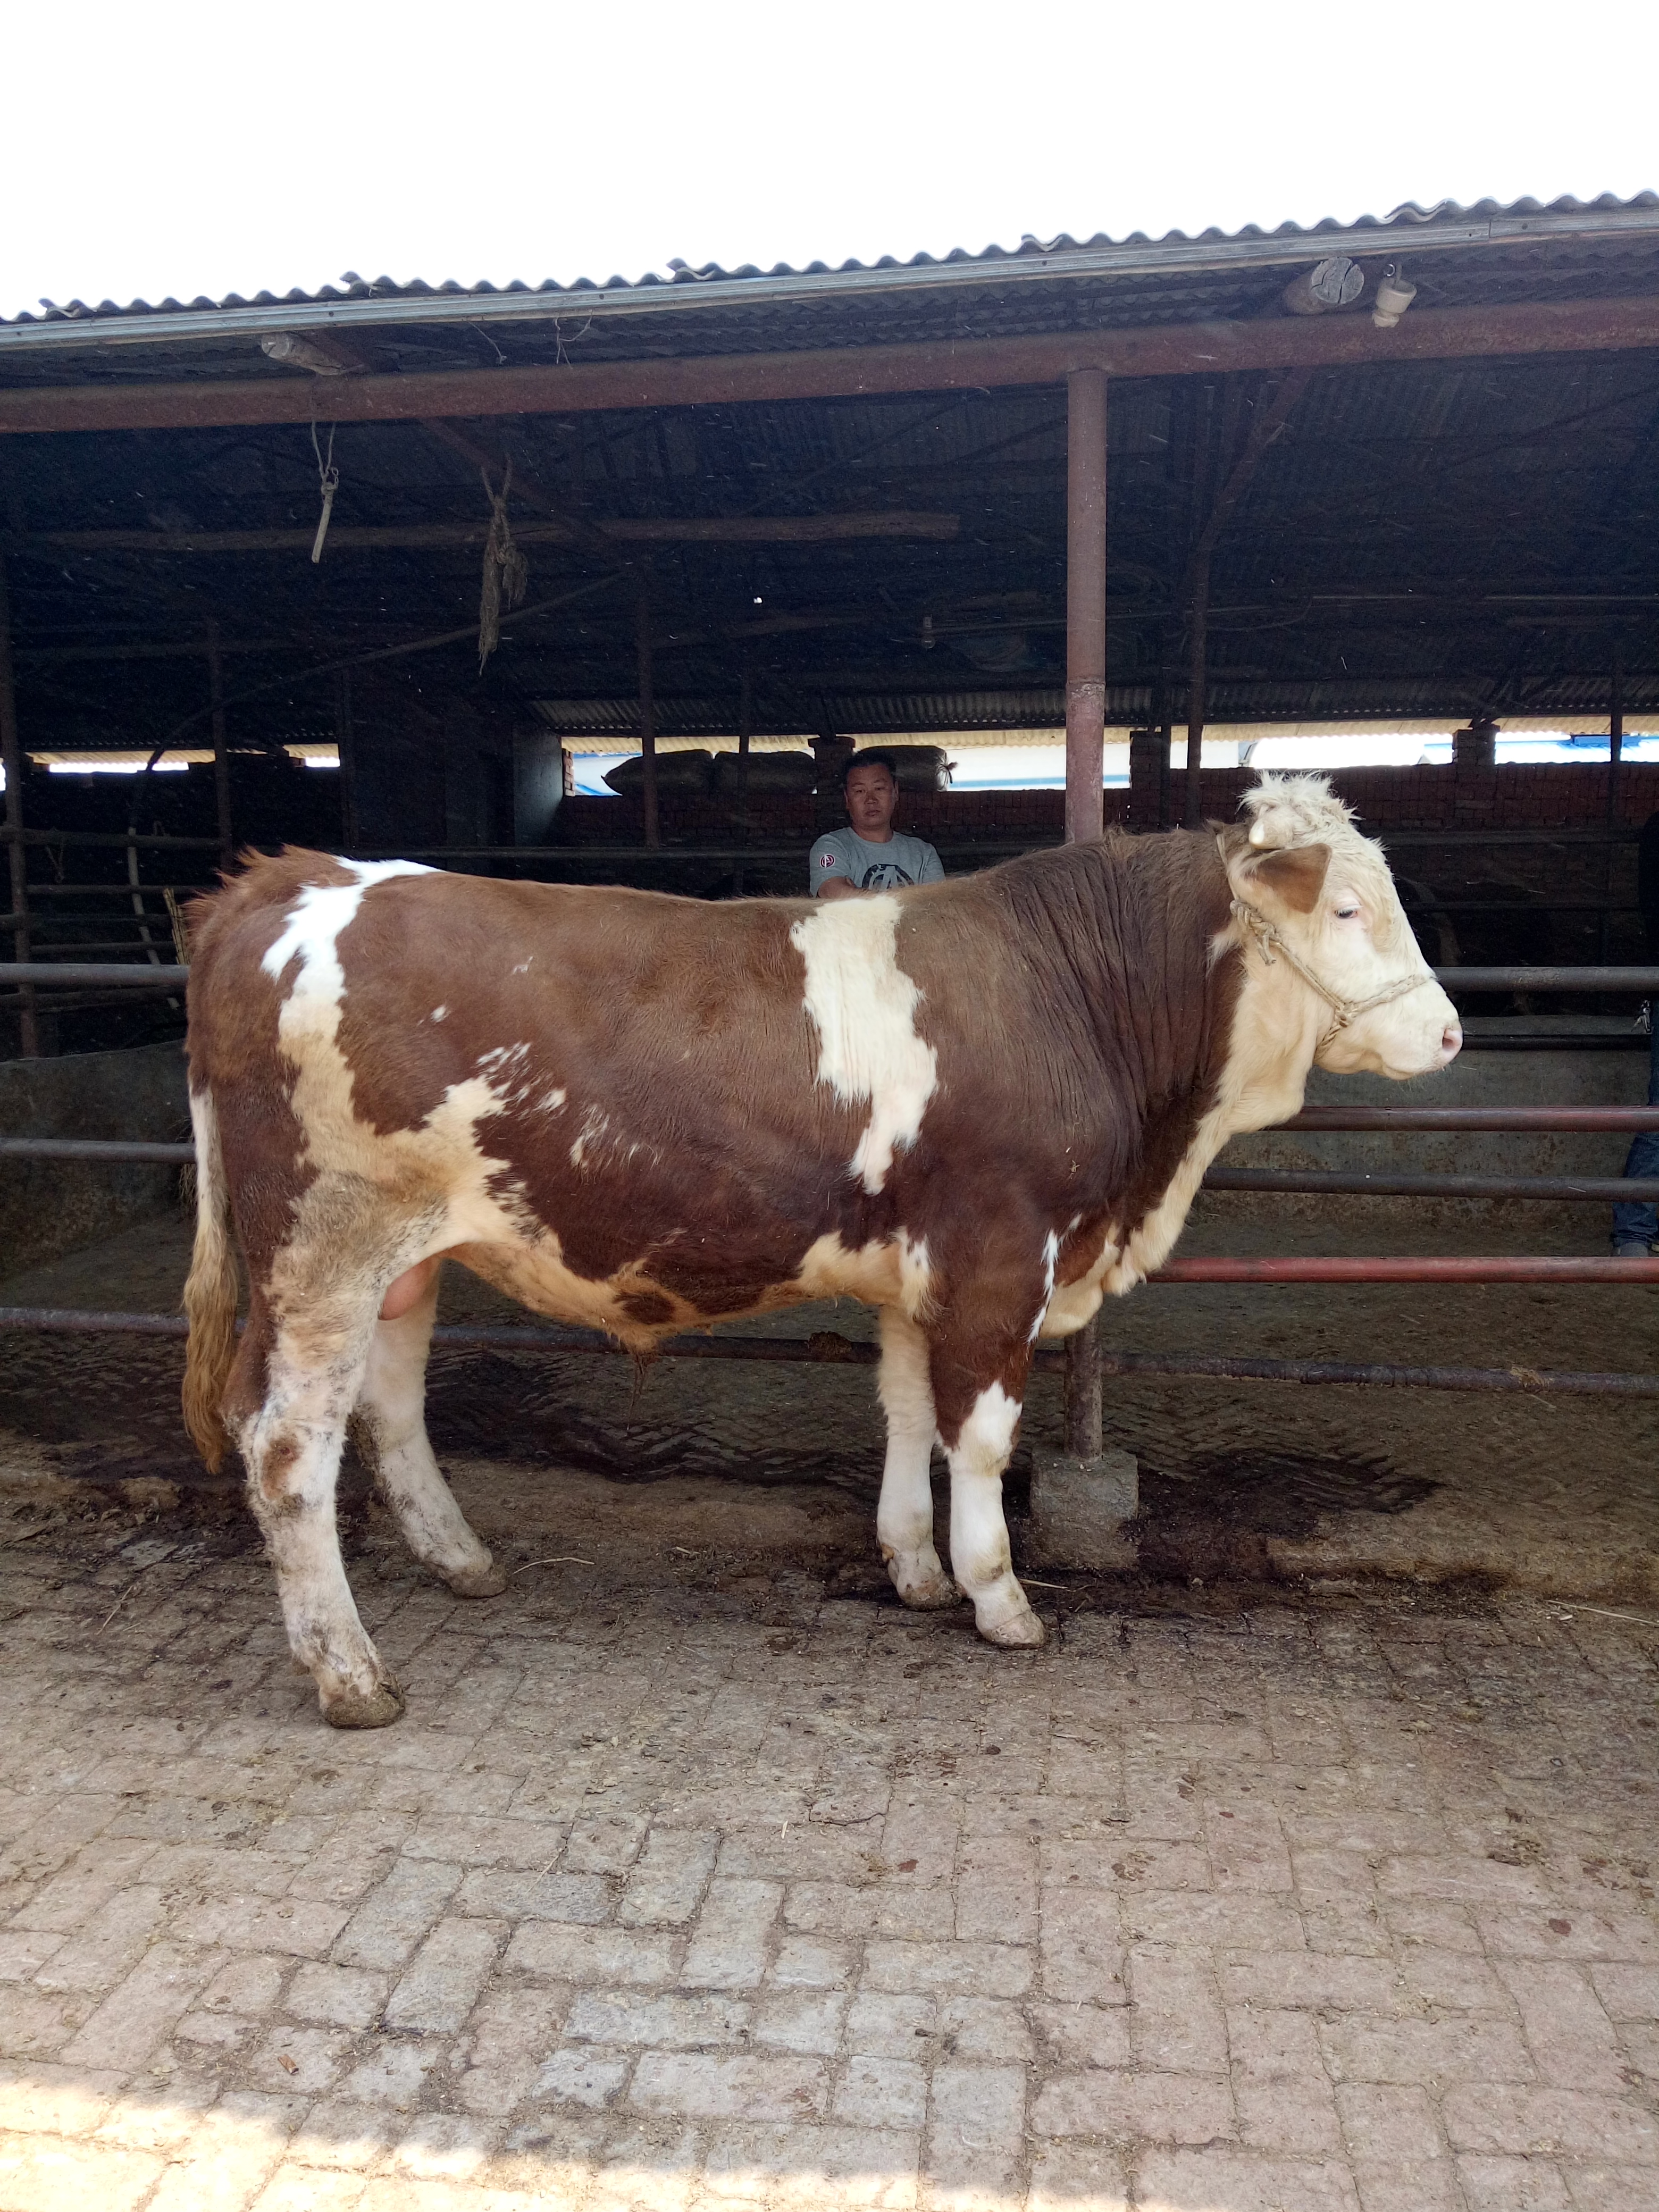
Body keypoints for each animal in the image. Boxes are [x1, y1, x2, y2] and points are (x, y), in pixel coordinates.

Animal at [179, 778, 1451, 1725]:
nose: (1446, 1032)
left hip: (403, 1260)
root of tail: (294, 878)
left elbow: (905, 1413)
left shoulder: (919, 1269)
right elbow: (980, 1436)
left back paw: (461, 1560)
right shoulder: (1002, 1256)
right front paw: (1000, 1596)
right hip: (325, 1248)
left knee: (388, 1408)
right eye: (1346, 909)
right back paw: (351, 1675)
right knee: (287, 1445)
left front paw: (916, 1568)